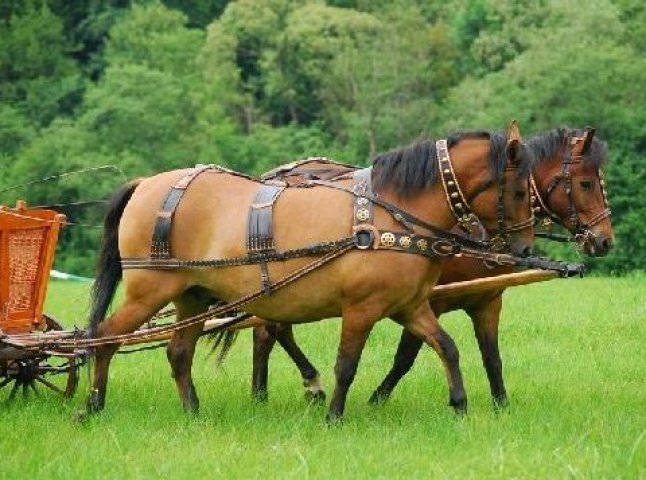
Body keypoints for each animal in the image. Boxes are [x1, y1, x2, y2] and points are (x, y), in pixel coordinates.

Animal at [90, 122, 536, 422]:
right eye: (518, 191)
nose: (526, 248)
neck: (391, 216)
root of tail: (146, 184)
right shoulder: (361, 308)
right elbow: (347, 365)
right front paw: (334, 416)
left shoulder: (410, 306)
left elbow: (446, 346)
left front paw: (460, 404)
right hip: (149, 291)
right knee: (106, 336)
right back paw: (93, 403)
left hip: (192, 296)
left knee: (179, 352)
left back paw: (192, 411)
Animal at [239, 125, 616, 406]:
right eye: (585, 183)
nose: (605, 240)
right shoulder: (425, 301)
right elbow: (406, 358)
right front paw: (377, 398)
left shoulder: (487, 301)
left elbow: (491, 357)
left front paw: (501, 406)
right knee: (271, 330)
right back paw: (298, 385)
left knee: (269, 330)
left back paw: (262, 393)